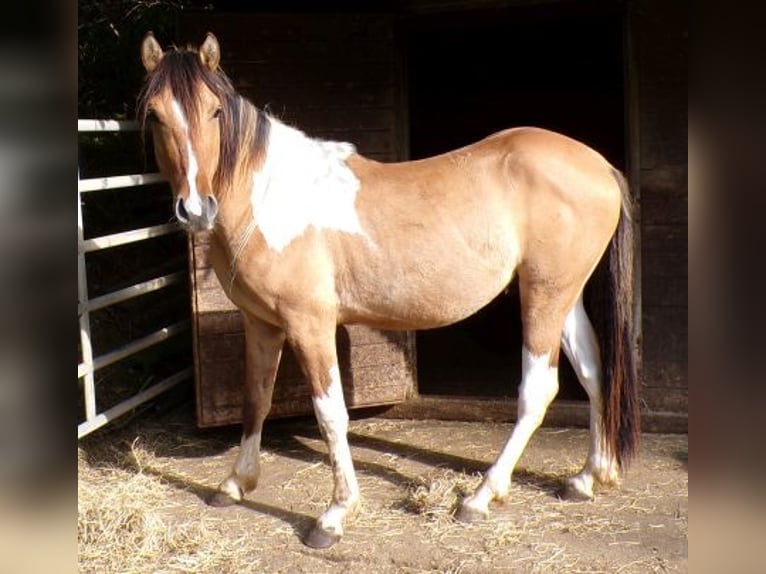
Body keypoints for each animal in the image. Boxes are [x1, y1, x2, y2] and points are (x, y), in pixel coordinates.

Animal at [138, 32, 639, 549]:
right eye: (154, 114)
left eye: (215, 111)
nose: (196, 209)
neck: (273, 198)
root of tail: (600, 166)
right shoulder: (261, 323)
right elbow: (255, 399)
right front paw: (236, 483)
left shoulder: (309, 325)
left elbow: (330, 414)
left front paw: (335, 514)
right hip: (563, 296)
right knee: (594, 371)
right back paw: (588, 477)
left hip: (543, 295)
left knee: (538, 389)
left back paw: (481, 496)